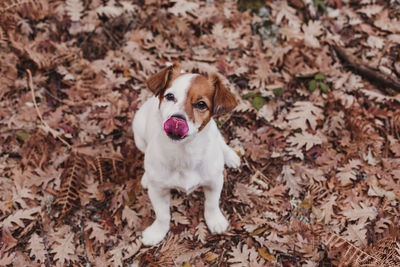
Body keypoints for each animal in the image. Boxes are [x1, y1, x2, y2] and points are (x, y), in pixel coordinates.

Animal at [133, 62, 241, 247]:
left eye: (201, 104)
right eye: (170, 96)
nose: (177, 120)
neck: (184, 153)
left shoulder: (214, 182)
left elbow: (212, 204)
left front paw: (215, 220)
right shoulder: (158, 191)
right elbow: (162, 215)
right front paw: (157, 232)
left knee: (220, 140)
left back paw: (230, 156)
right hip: (138, 134)